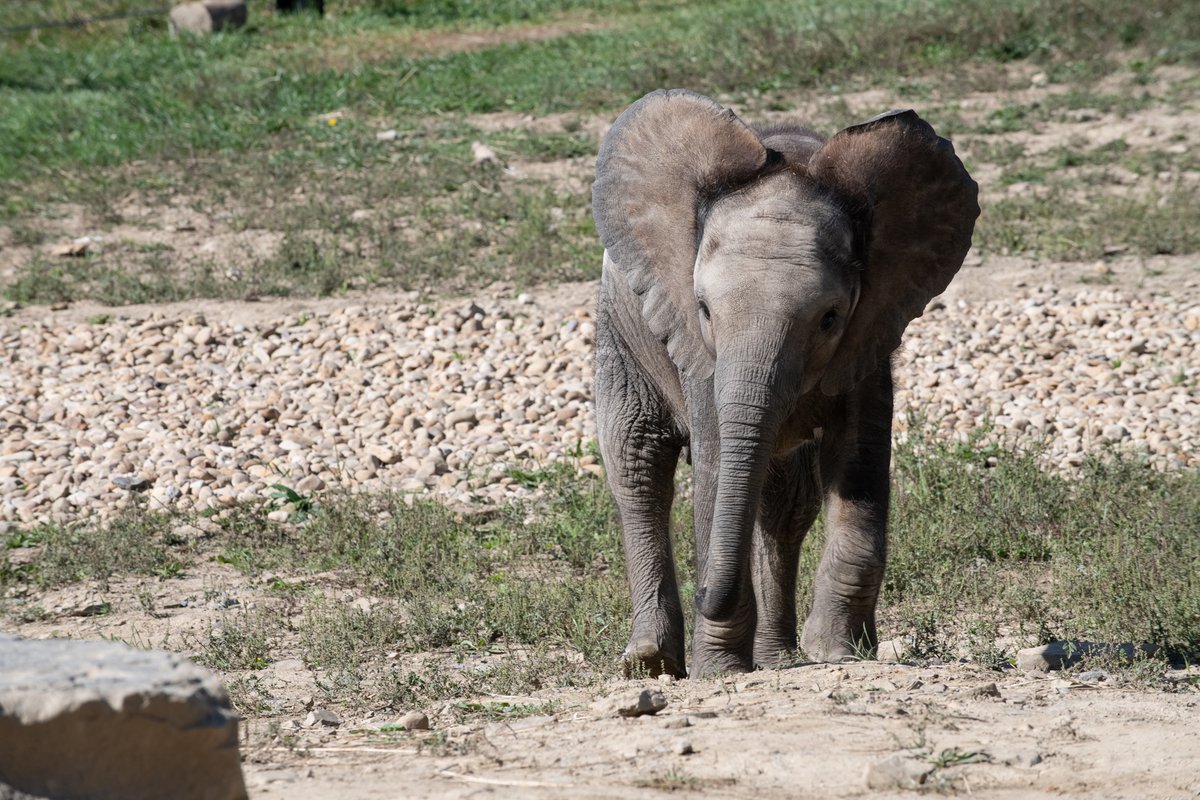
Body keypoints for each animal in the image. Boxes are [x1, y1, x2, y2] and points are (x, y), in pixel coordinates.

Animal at [590, 90, 974, 681]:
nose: (705, 592)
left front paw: (840, 651)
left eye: (830, 318)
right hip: (622, 335)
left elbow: (858, 464)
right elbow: (715, 468)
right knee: (637, 465)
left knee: (785, 505)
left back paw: (778, 658)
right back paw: (652, 663)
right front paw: (721, 671)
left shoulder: (870, 337)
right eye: (703, 309)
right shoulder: (698, 351)